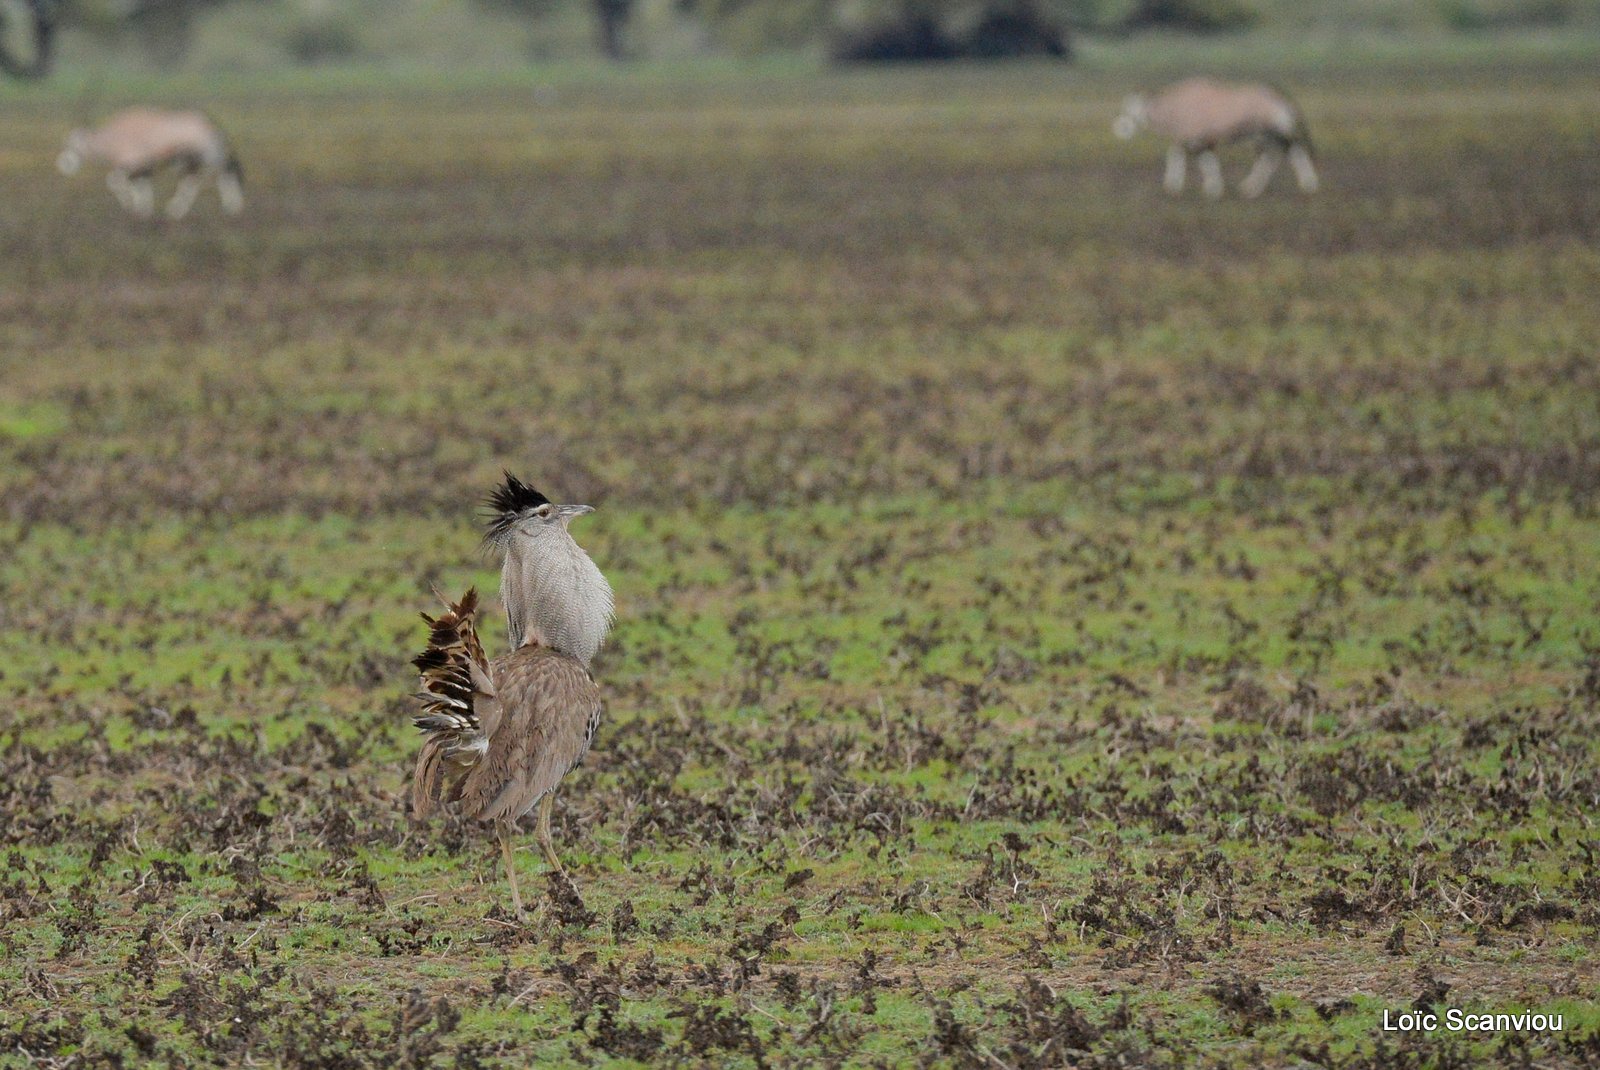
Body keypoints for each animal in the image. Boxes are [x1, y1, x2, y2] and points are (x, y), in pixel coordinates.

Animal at [58, 107, 243, 220]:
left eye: (73, 144)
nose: (62, 164)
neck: (112, 136)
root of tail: (209, 125)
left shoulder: (131, 164)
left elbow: (114, 181)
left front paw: (129, 205)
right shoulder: (143, 168)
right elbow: (141, 186)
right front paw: (143, 210)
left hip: (211, 158)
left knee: (226, 174)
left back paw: (233, 208)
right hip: (192, 163)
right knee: (192, 183)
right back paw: (175, 211)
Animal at [1113, 77, 1312, 199]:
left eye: (1132, 111)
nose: (1120, 129)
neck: (1175, 105)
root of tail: (1279, 99)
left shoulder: (1192, 141)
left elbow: (1180, 158)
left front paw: (1174, 187)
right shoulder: (1203, 143)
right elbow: (1207, 163)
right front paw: (1213, 189)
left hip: (1274, 135)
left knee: (1286, 154)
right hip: (1270, 137)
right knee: (1280, 155)